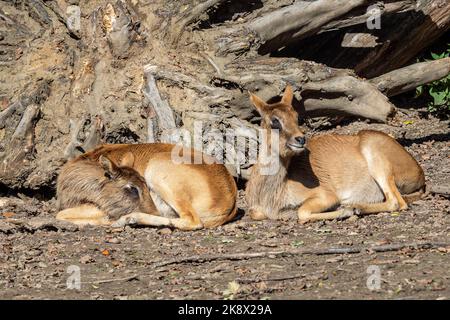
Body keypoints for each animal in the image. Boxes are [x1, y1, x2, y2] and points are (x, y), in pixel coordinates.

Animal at [246, 85, 426, 225]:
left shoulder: (326, 195)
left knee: (396, 202)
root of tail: (419, 173)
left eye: (296, 117)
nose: (301, 139)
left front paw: (343, 210)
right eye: (275, 120)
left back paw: (354, 207)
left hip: (378, 163)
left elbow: (302, 212)